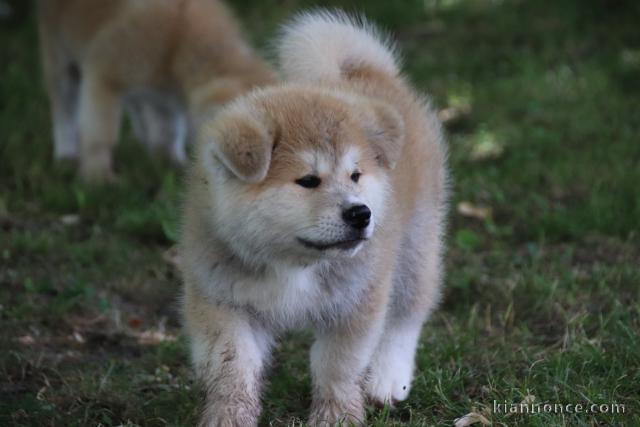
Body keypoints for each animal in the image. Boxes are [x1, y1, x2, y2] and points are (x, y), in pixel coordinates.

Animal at [38, 0, 276, 182]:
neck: (178, 39)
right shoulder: (104, 76)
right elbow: (101, 132)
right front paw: (98, 176)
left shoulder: (165, 99)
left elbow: (168, 132)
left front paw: (170, 163)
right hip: (59, 54)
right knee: (63, 107)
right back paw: (66, 156)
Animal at [180, 11, 450, 426]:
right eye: (308, 180)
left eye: (355, 175)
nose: (361, 213)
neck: (294, 264)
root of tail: (369, 72)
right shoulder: (224, 303)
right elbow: (232, 371)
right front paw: (230, 416)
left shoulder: (355, 302)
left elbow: (337, 369)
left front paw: (337, 416)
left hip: (417, 243)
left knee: (407, 315)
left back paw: (390, 377)